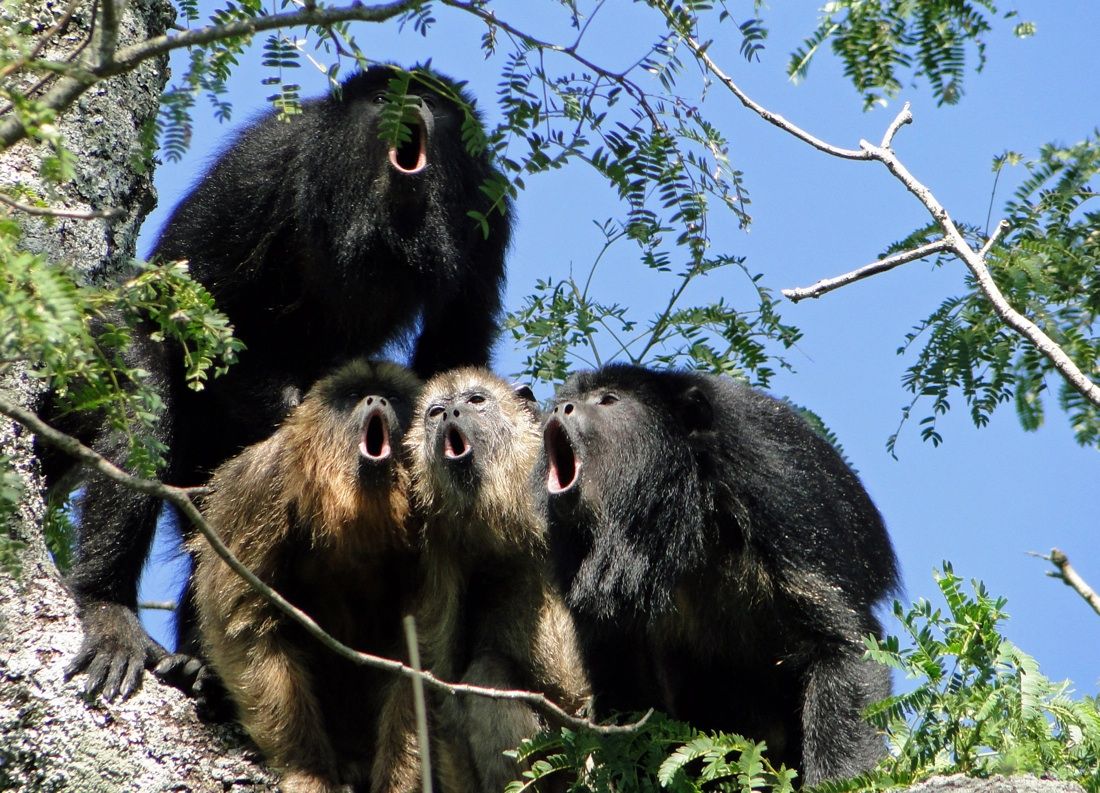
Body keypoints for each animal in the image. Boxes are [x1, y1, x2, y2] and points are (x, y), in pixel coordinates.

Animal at [407, 369, 594, 791]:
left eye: (475, 401)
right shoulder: (437, 544)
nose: (450, 414)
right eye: (435, 412)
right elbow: (441, 684)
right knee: (488, 672)